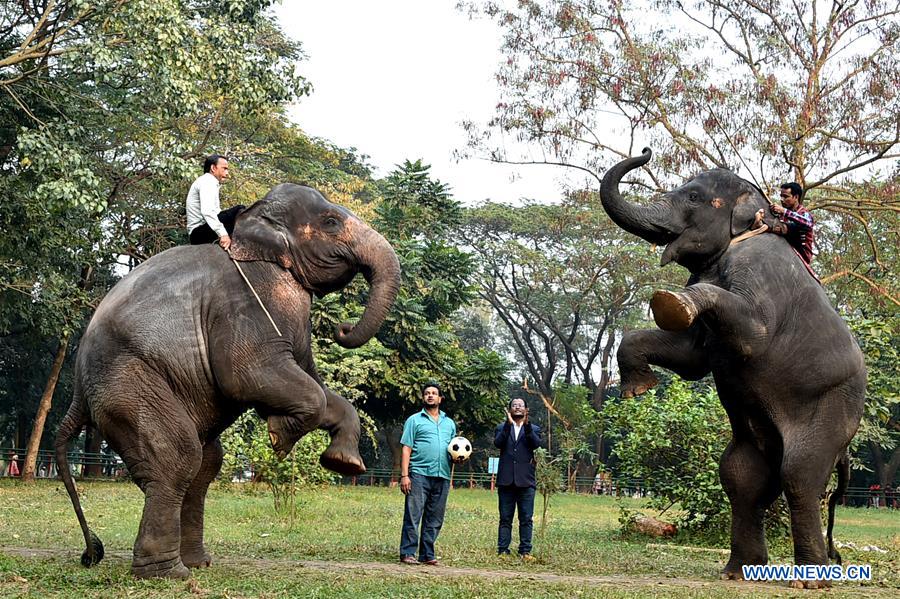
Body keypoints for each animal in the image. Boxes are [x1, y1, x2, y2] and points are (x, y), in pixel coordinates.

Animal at [52, 184, 398, 580]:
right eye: (331, 222)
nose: (343, 328)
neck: (254, 227)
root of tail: (78, 393)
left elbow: (313, 385)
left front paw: (343, 463)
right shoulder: (246, 301)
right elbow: (249, 375)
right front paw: (280, 438)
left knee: (203, 465)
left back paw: (196, 563)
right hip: (128, 384)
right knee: (177, 458)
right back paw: (169, 575)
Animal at [600, 149, 868, 584]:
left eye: (693, 197)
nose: (645, 151)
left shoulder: (760, 272)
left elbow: (751, 335)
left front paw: (670, 302)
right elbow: (692, 359)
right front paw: (636, 390)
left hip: (834, 408)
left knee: (799, 476)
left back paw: (809, 580)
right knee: (742, 477)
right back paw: (739, 572)